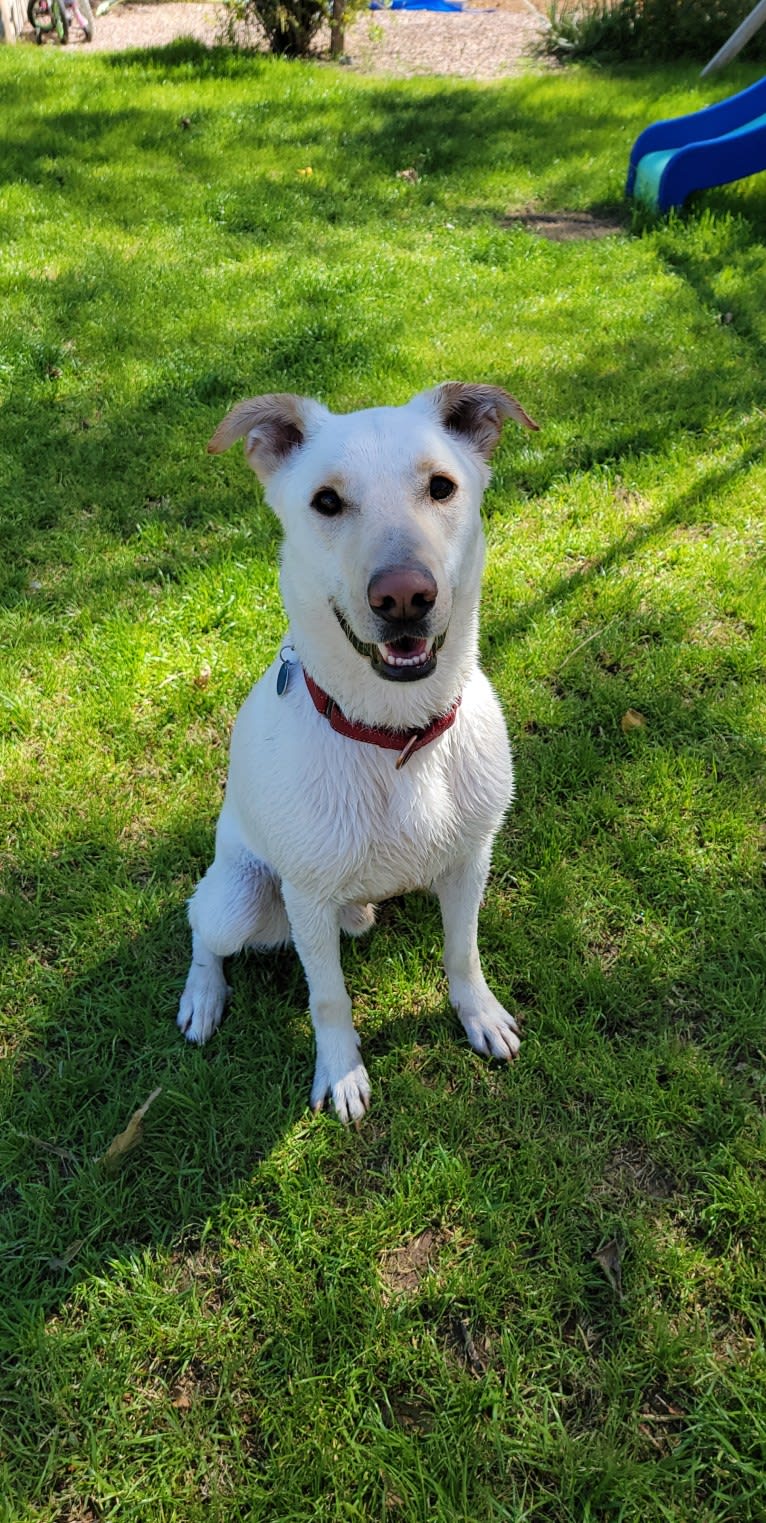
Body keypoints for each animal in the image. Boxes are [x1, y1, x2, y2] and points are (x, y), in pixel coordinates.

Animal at [179, 380, 539, 1120]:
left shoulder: (470, 863)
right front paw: (342, 1071)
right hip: (241, 898)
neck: (396, 738)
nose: (404, 597)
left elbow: (463, 953)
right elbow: (329, 998)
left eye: (441, 486)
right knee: (201, 926)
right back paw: (202, 995)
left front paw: (479, 1015)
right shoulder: (308, 900)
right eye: (326, 501)